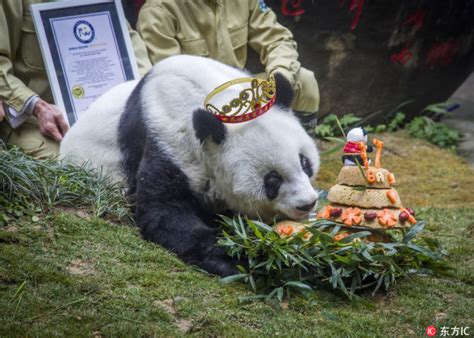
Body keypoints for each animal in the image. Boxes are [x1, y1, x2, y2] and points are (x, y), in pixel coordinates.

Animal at [59, 55, 318, 276]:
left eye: (305, 162)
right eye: (272, 180)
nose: (307, 204)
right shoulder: (167, 139)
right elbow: (165, 212)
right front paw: (246, 252)